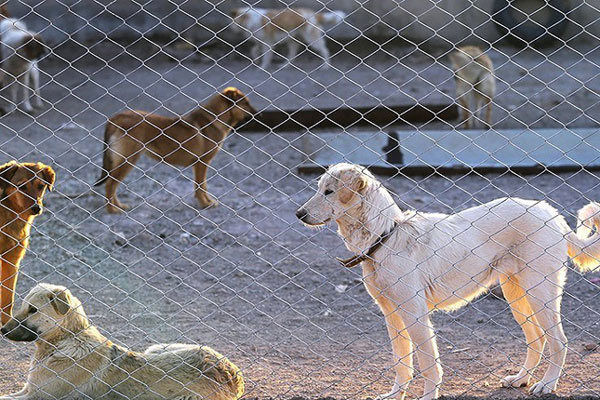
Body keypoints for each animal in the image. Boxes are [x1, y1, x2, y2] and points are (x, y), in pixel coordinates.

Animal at [0, 282, 244, 400]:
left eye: (32, 310)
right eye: (22, 306)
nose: (2, 330)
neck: (66, 339)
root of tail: (234, 374)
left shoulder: (37, 396)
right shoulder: (27, 391)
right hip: (156, 348)